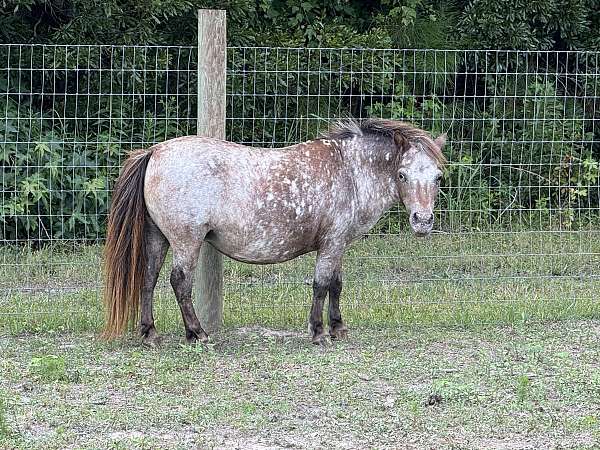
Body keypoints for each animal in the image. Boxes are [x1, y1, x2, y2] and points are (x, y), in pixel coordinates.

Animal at [103, 118, 446, 344]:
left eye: (438, 176)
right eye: (402, 175)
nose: (422, 221)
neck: (349, 170)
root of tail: (155, 151)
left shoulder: (338, 245)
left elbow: (336, 285)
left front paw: (338, 327)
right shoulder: (332, 243)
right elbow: (321, 285)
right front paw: (318, 332)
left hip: (158, 238)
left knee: (148, 279)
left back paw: (150, 333)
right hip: (186, 241)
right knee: (179, 283)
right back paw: (197, 333)